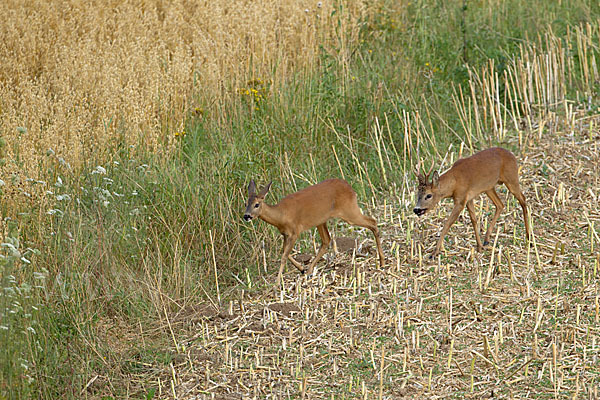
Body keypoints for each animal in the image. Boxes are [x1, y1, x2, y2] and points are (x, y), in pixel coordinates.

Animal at [244, 178, 384, 284]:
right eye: (246, 203)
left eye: (257, 204)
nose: (246, 216)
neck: (281, 216)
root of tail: (350, 188)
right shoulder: (285, 234)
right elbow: (284, 252)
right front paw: (301, 268)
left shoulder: (295, 231)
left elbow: (283, 256)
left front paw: (277, 283)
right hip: (321, 220)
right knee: (327, 240)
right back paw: (309, 271)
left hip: (349, 212)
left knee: (373, 222)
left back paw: (382, 262)